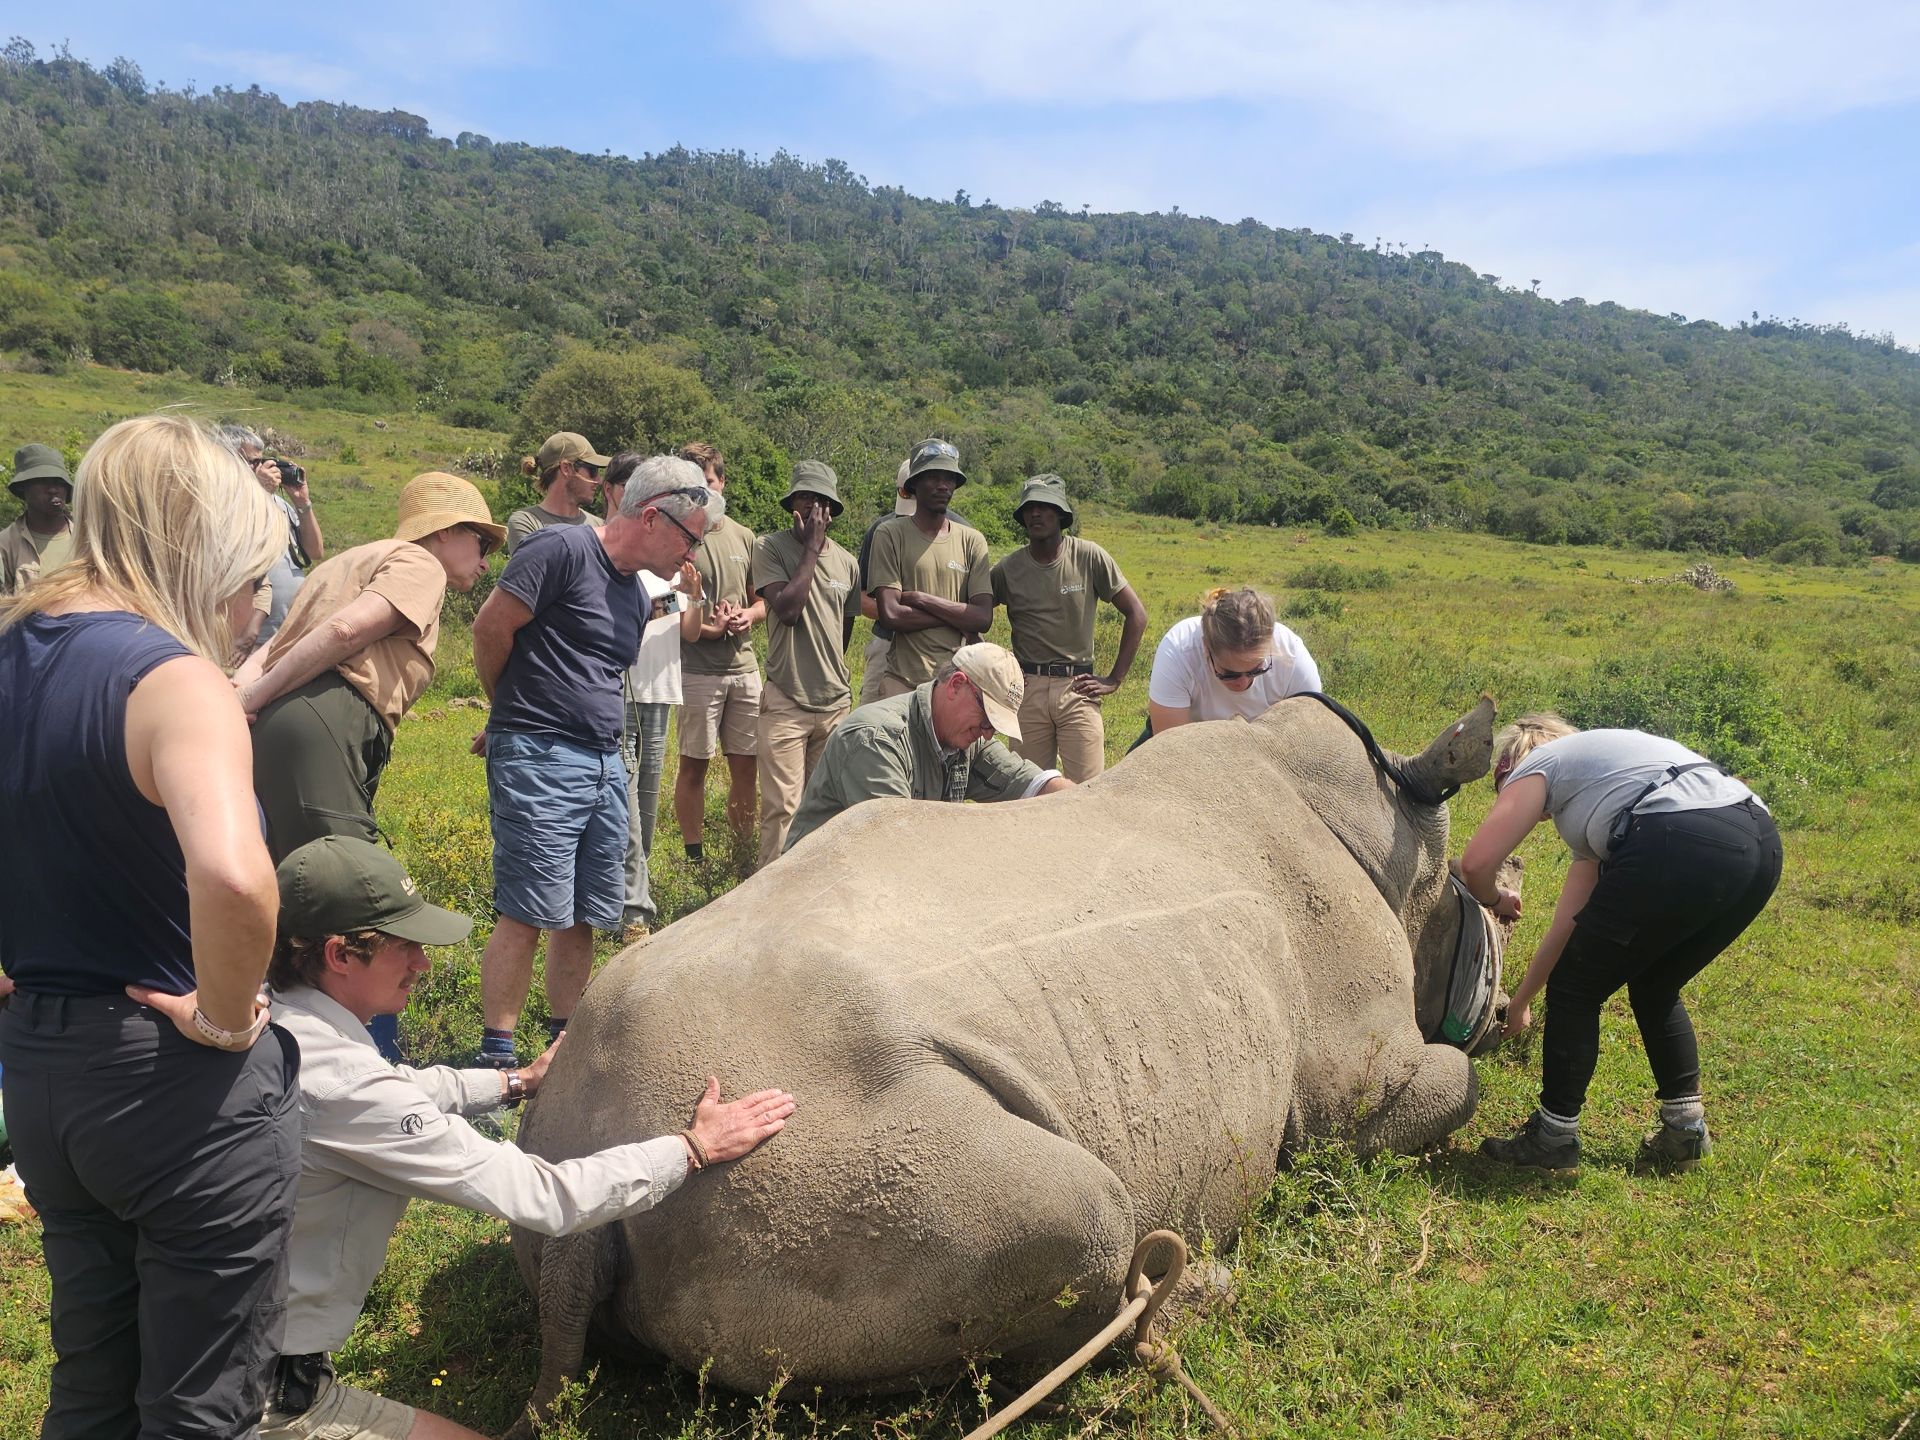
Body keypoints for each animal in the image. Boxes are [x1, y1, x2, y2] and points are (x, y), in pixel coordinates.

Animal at [510, 694, 1507, 1412]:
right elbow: (1446, 1086)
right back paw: (1195, 1291)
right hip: (806, 1146)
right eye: (1483, 904)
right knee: (1089, 1211)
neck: (1391, 830)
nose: (1500, 1010)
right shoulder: (1357, 1084)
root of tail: (584, 1163)